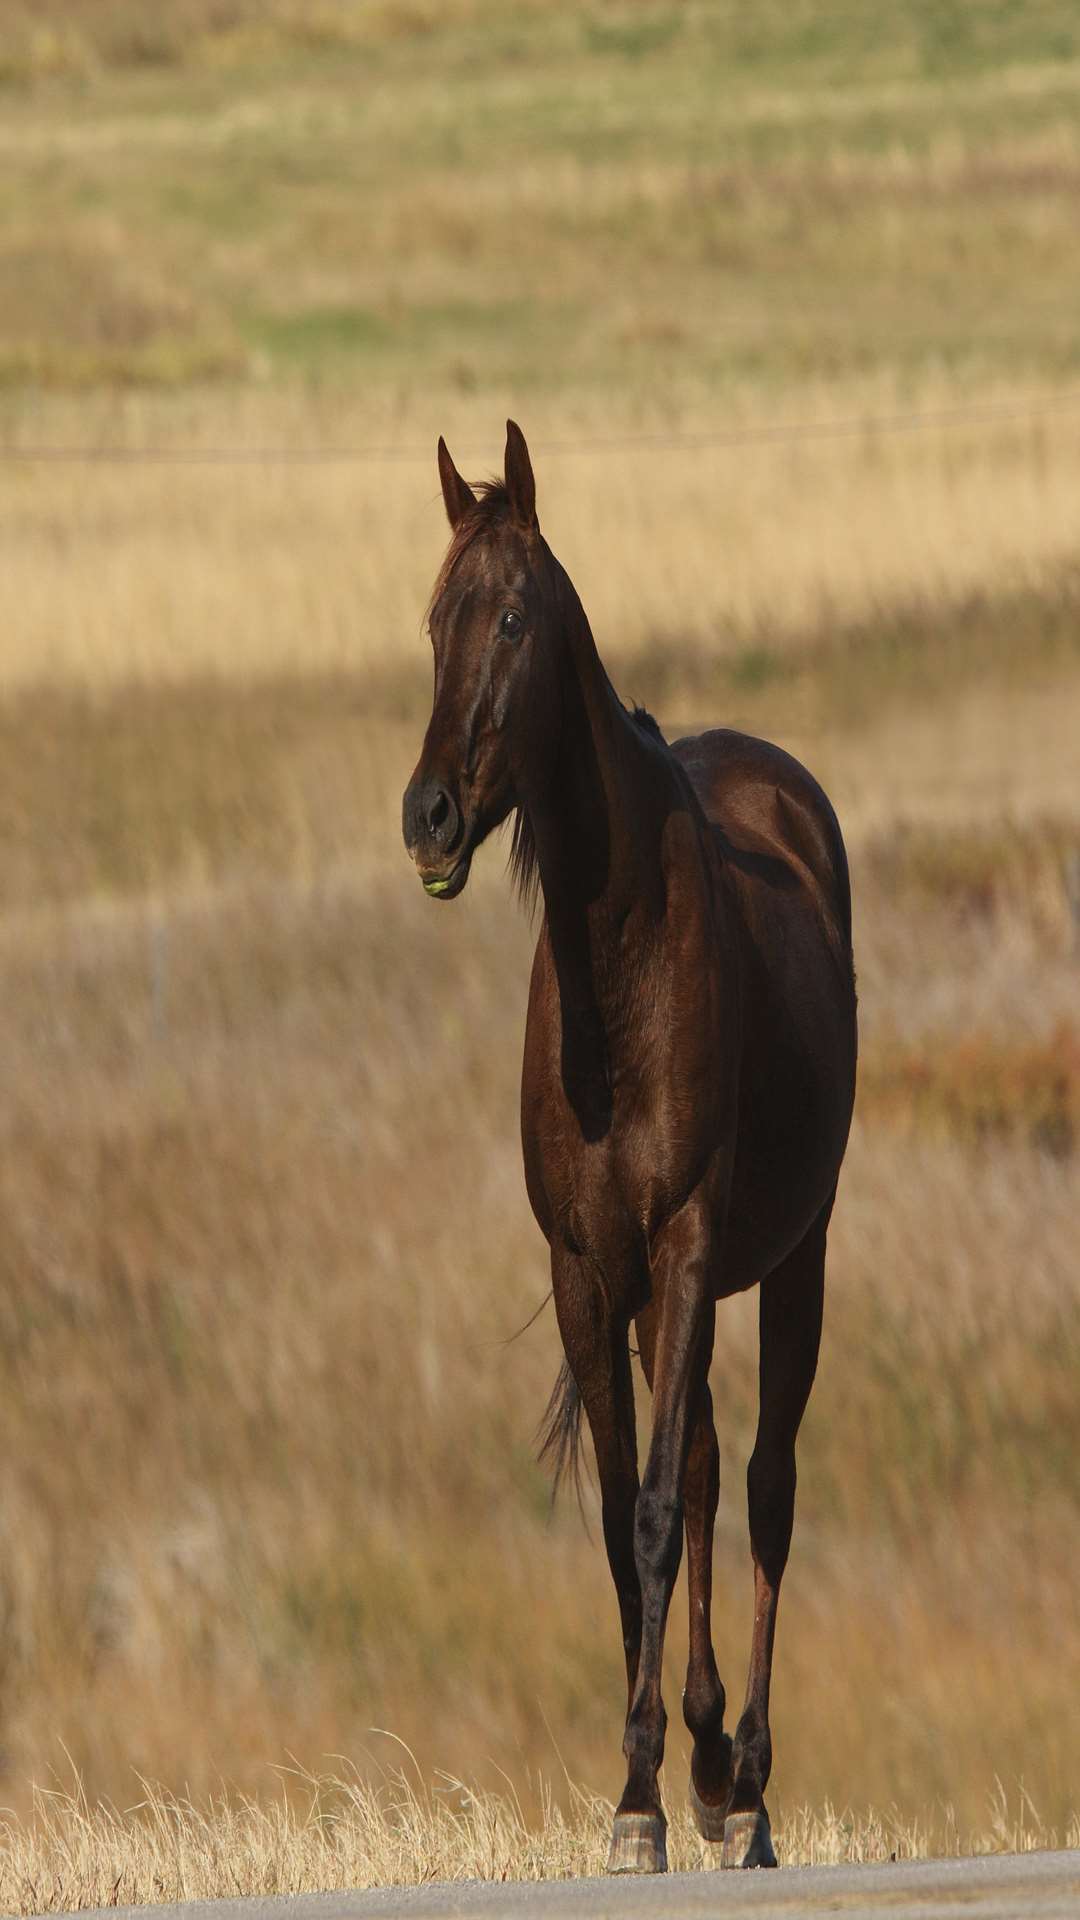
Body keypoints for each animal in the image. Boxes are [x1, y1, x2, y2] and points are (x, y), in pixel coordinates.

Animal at [399, 424, 853, 1873]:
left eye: (515, 617)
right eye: (433, 618)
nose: (430, 817)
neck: (625, 956)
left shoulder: (695, 1249)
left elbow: (663, 1511)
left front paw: (655, 1791)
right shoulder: (591, 1271)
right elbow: (623, 1514)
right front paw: (654, 1776)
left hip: (794, 1262)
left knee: (763, 1484)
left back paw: (749, 1779)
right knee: (706, 1474)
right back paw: (712, 1756)